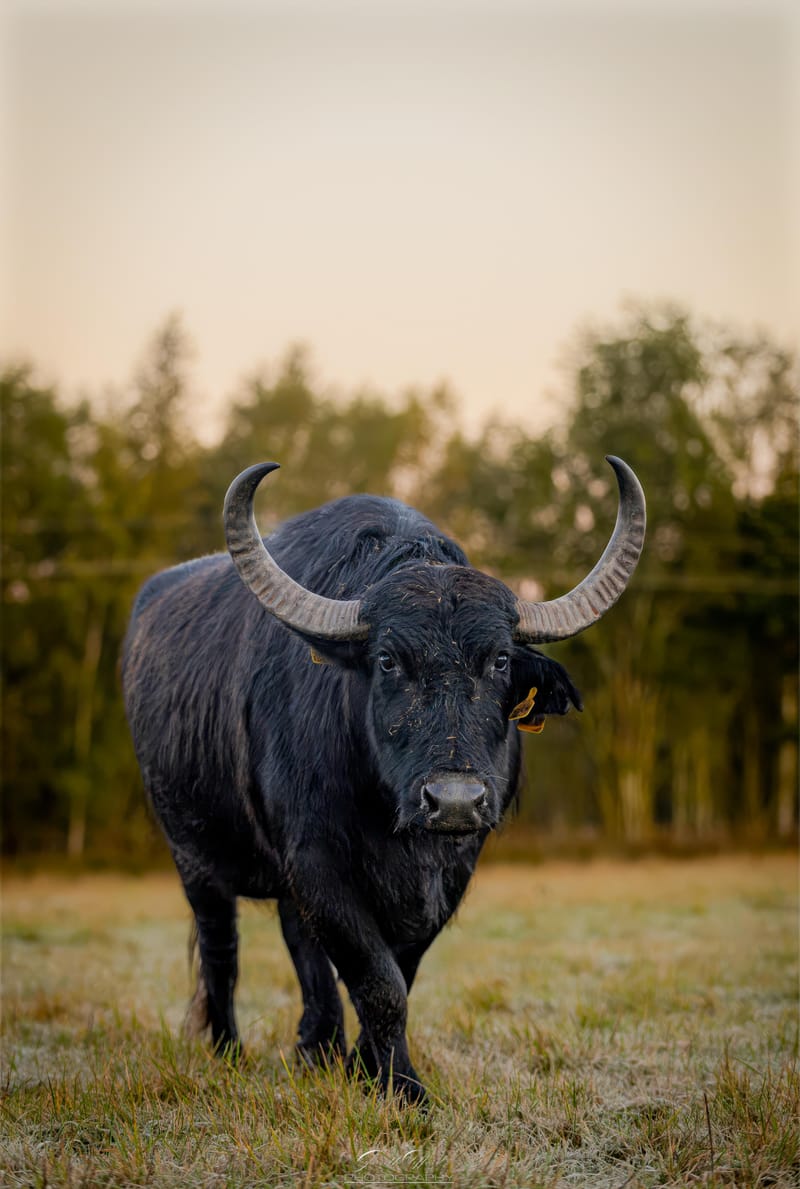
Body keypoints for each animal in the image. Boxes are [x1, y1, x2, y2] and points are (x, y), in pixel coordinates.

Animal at [122, 456, 645, 1103]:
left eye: (499, 660)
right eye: (389, 661)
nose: (454, 801)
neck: (393, 823)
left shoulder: (450, 874)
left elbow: (399, 973)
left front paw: (364, 1069)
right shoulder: (317, 862)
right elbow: (378, 982)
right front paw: (402, 1086)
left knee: (299, 946)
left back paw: (316, 1049)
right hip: (193, 855)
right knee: (223, 949)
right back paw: (228, 1051)